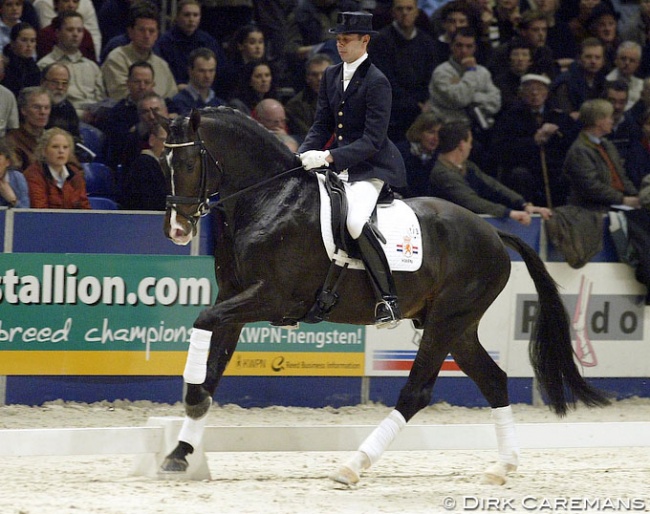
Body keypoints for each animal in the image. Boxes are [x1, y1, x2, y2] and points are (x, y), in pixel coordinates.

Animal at [158, 106, 608, 482]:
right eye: (163, 163)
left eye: (187, 162)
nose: (177, 231)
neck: (270, 199)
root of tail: (493, 232)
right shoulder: (234, 297)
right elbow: (213, 364)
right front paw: (180, 451)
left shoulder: (273, 297)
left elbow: (202, 323)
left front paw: (191, 400)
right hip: (459, 327)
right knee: (494, 380)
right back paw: (503, 466)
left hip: (447, 321)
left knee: (416, 392)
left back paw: (353, 466)